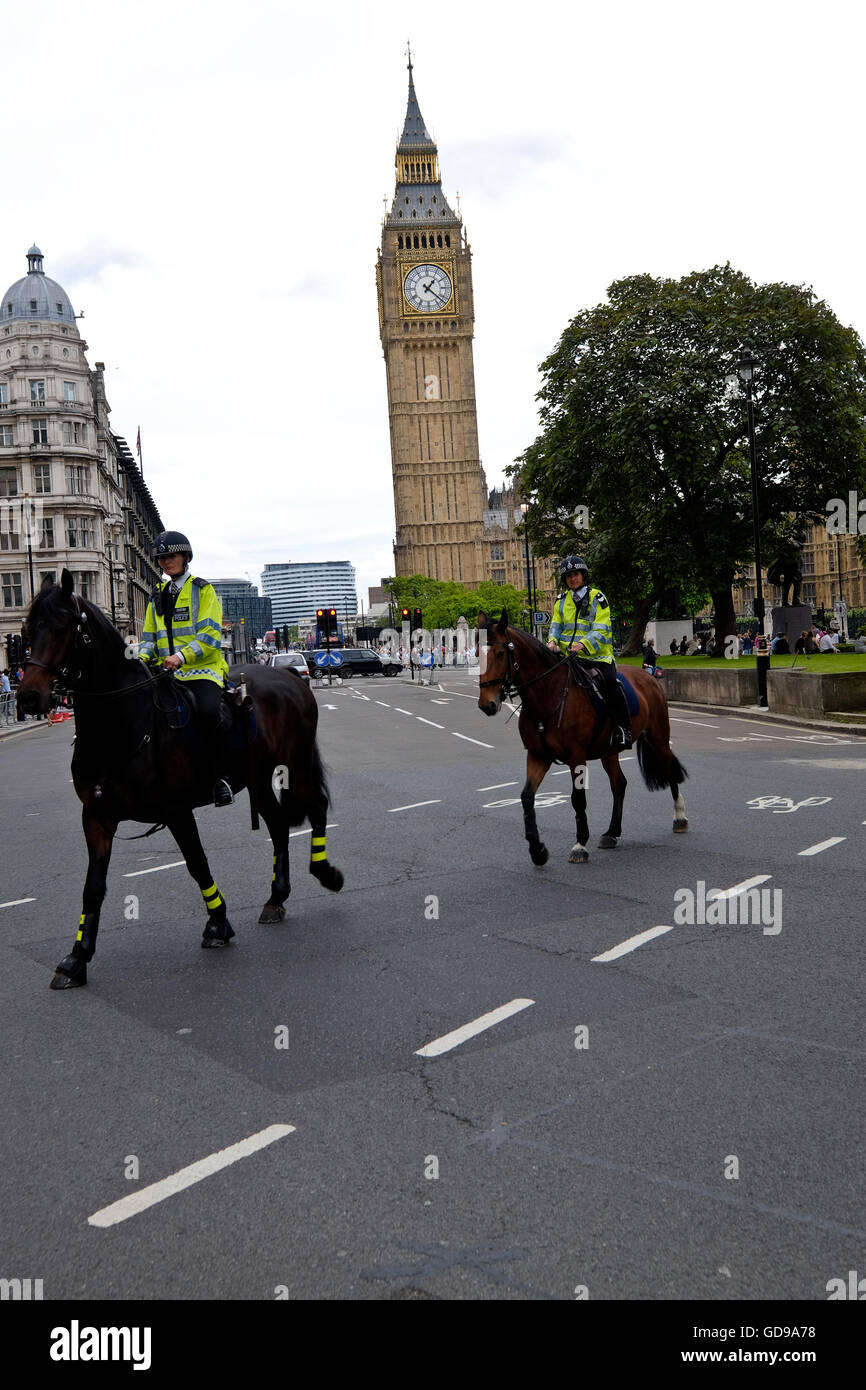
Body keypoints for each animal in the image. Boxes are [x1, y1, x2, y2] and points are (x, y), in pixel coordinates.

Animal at [16, 572, 341, 989]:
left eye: (63, 628)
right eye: (27, 630)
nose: (28, 697)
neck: (122, 726)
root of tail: (285, 674)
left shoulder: (176, 810)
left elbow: (197, 863)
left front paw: (218, 924)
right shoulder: (96, 816)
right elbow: (93, 887)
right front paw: (77, 957)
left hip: (292, 766)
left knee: (315, 806)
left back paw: (326, 873)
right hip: (260, 776)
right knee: (278, 824)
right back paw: (276, 898)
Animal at [478, 611, 686, 861]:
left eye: (500, 654)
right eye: (477, 652)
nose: (486, 704)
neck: (549, 694)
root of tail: (648, 676)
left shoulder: (576, 755)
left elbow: (577, 799)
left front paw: (579, 844)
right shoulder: (538, 756)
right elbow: (527, 797)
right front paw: (537, 849)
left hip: (658, 739)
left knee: (669, 770)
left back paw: (679, 817)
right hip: (609, 751)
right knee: (619, 784)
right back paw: (612, 832)